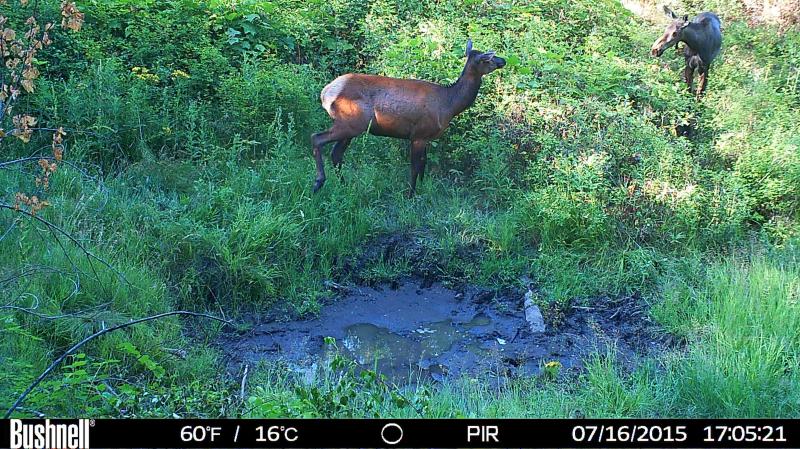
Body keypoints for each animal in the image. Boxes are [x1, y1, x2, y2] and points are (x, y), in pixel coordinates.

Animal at [310, 39, 506, 197]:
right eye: (488, 59)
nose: (503, 60)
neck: (449, 105)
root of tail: (326, 93)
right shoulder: (418, 134)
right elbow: (414, 167)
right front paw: (410, 195)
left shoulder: (426, 137)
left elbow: (423, 164)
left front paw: (423, 188)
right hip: (350, 122)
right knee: (316, 138)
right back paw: (319, 182)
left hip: (352, 127)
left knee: (336, 154)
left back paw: (344, 185)